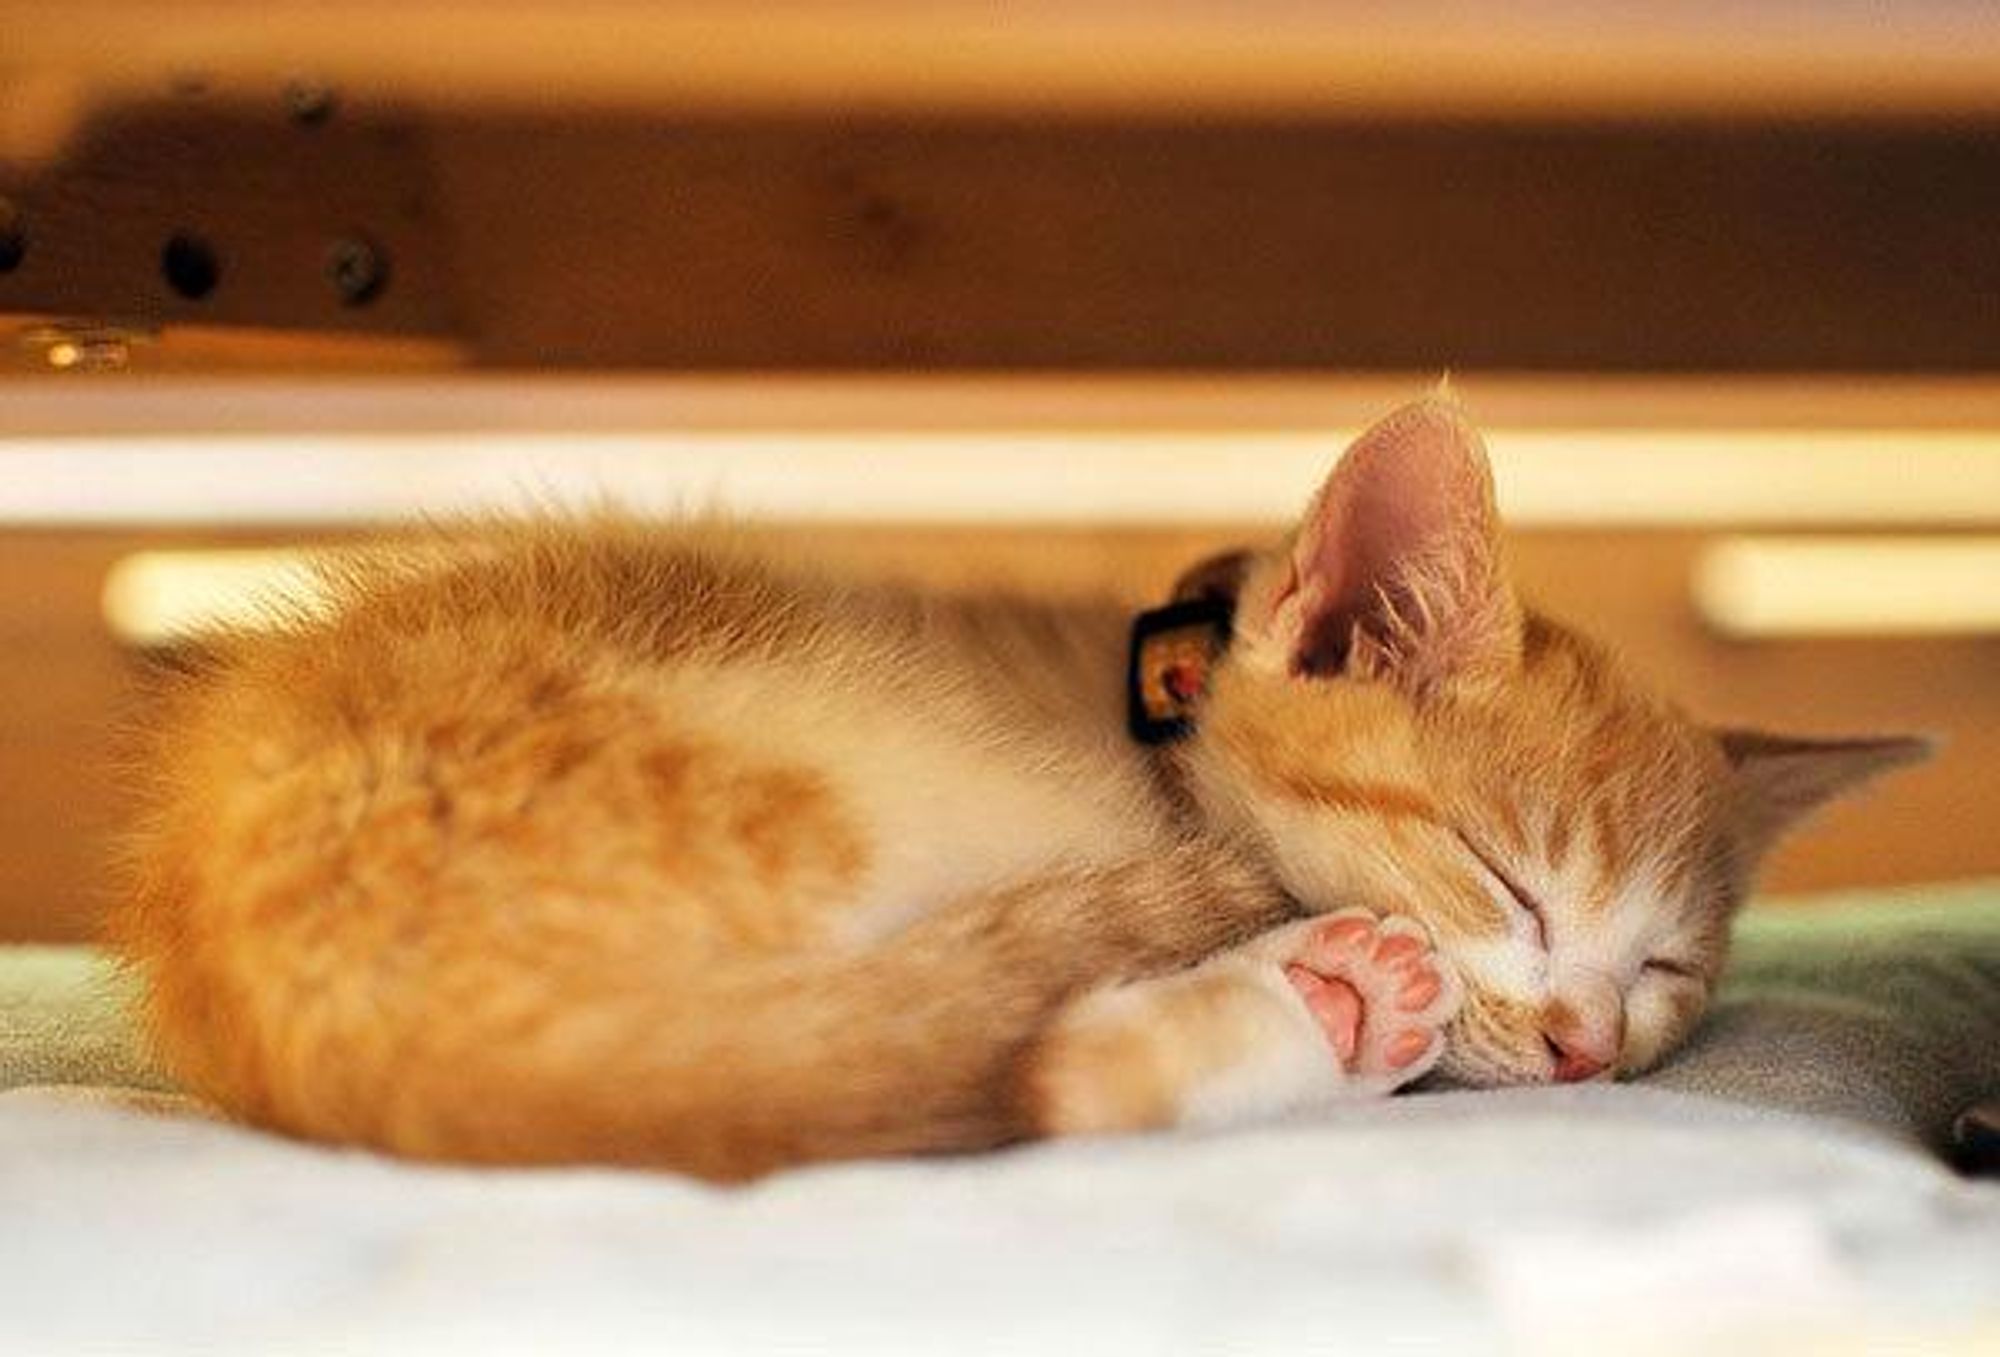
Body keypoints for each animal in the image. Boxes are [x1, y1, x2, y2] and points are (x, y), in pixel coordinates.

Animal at [105, 396, 1920, 1176]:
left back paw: (1319, 1012)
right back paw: (1311, 998)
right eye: (1505, 877)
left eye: (1668, 970)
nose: (1583, 1051)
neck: (1156, 725)